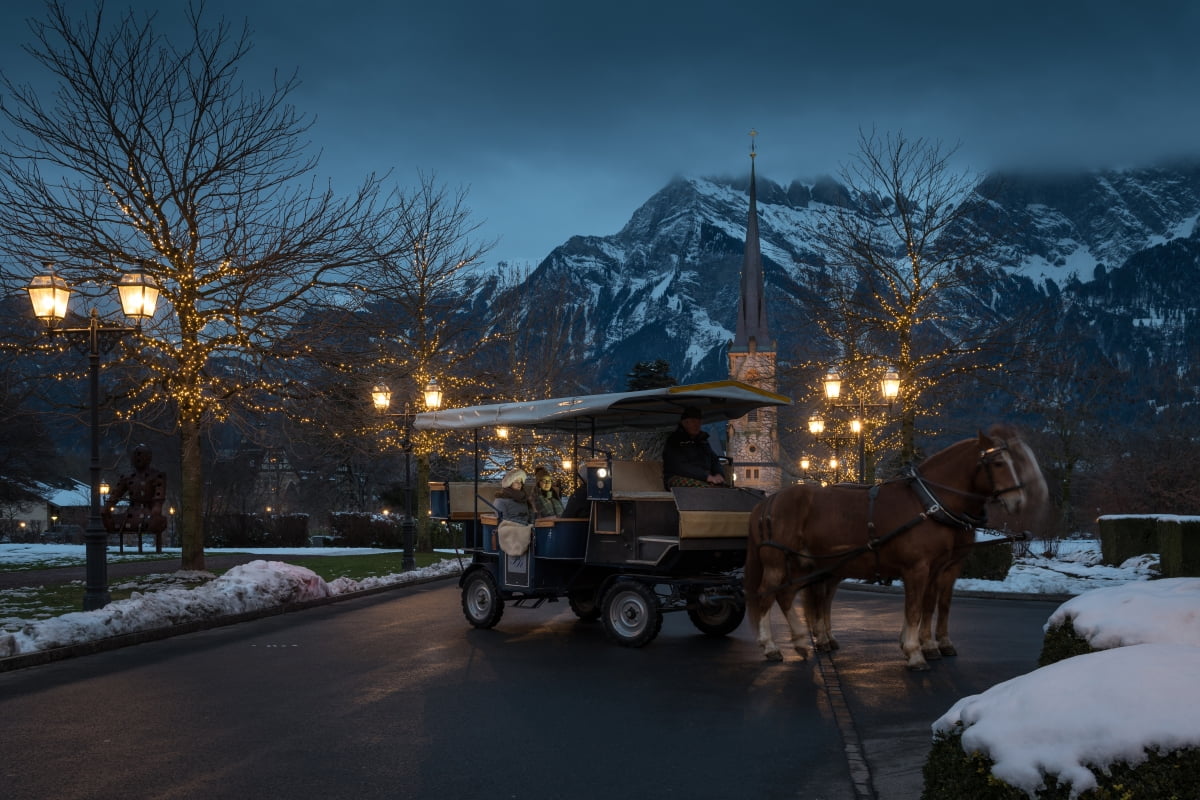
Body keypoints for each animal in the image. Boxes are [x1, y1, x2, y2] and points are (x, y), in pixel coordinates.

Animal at [744, 424, 1046, 671]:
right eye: (998, 463)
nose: (1019, 501)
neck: (929, 503)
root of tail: (769, 500)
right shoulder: (918, 568)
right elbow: (915, 608)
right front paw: (915, 652)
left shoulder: (942, 567)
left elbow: (933, 604)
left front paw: (931, 644)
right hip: (779, 562)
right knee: (767, 596)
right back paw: (772, 646)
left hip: (810, 565)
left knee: (791, 597)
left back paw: (802, 640)